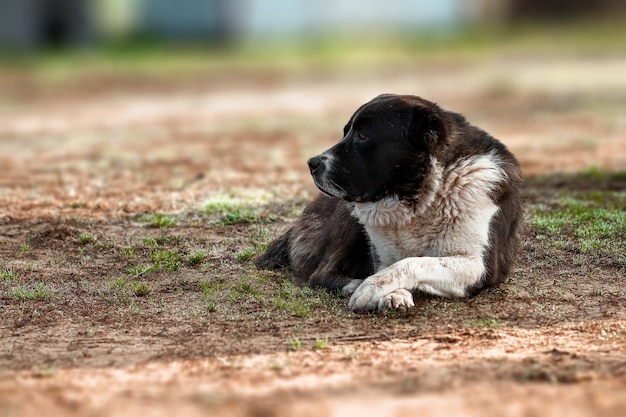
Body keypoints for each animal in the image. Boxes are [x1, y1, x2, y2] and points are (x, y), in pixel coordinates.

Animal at [255, 92, 520, 310]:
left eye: (362, 136)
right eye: (346, 132)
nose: (312, 163)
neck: (421, 197)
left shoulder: (479, 266)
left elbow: (412, 262)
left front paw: (372, 287)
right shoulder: (382, 255)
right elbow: (398, 265)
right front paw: (389, 293)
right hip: (349, 219)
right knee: (320, 273)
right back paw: (353, 284)